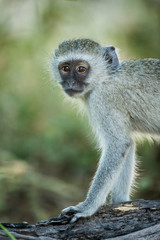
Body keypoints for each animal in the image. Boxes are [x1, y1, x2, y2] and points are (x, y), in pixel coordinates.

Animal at [52, 38, 160, 222]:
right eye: (65, 68)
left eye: (81, 69)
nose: (70, 83)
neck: (105, 78)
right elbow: (128, 144)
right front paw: (121, 202)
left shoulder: (102, 100)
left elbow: (118, 144)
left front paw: (87, 207)